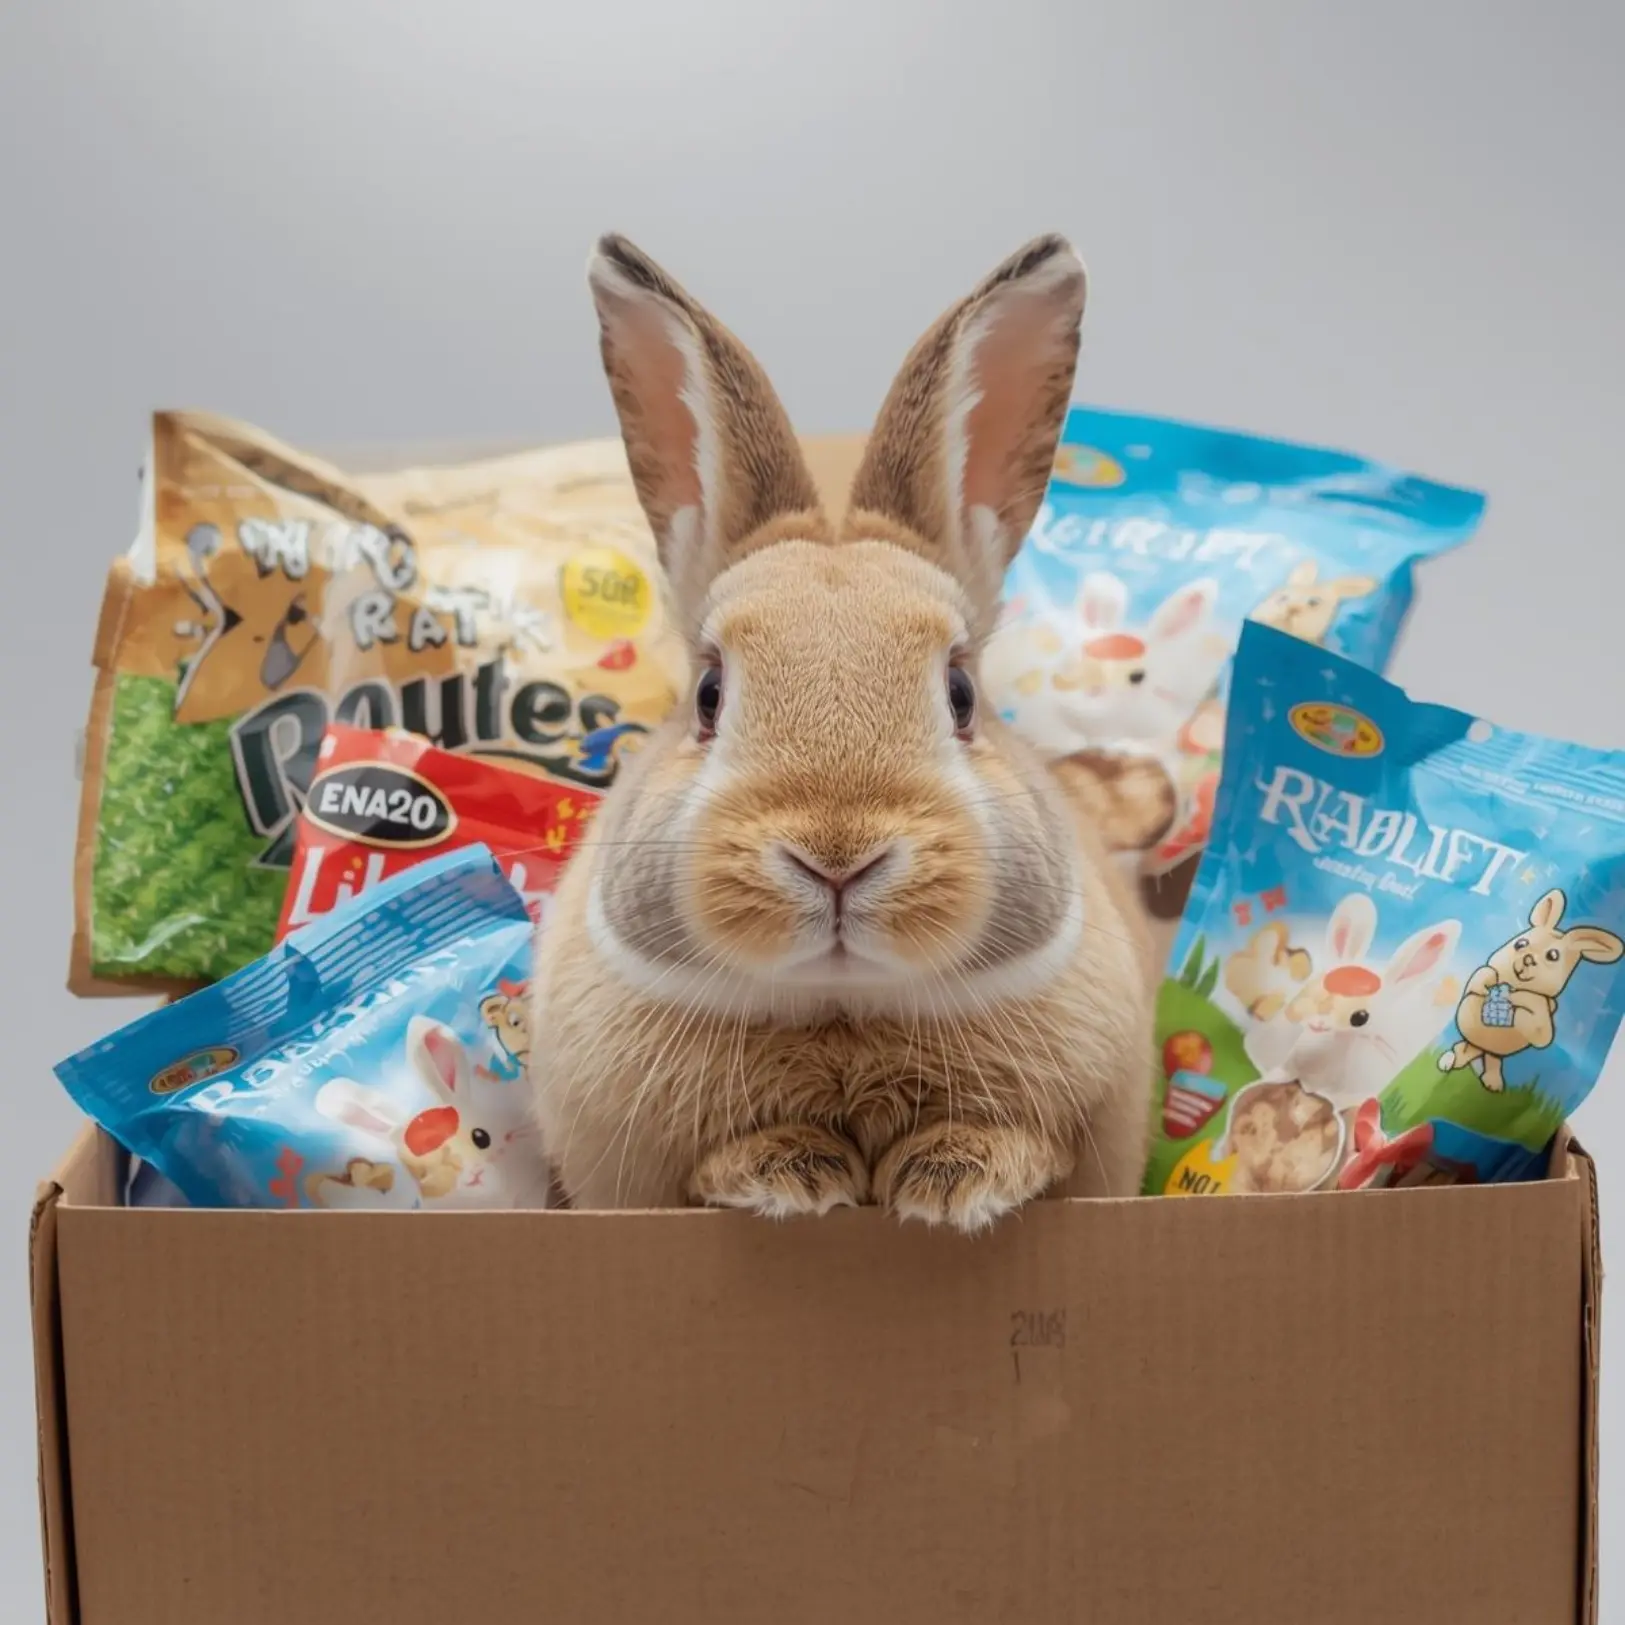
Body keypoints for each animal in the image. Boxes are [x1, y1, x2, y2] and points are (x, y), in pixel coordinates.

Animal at [529, 232, 1164, 1233]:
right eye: (709, 693)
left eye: (960, 693)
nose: (837, 856)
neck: (842, 1011)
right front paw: (789, 1174)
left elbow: (1021, 1145)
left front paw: (954, 1181)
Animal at [1440, 888, 1624, 1091]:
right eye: (1520, 943)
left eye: (1553, 955)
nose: (1528, 959)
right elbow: (1482, 974)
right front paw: (1486, 983)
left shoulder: (1544, 1012)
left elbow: (1540, 1027)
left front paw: (1520, 1001)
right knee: (1465, 1050)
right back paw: (1450, 1060)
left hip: (1491, 1051)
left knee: (1489, 1057)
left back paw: (1491, 1081)